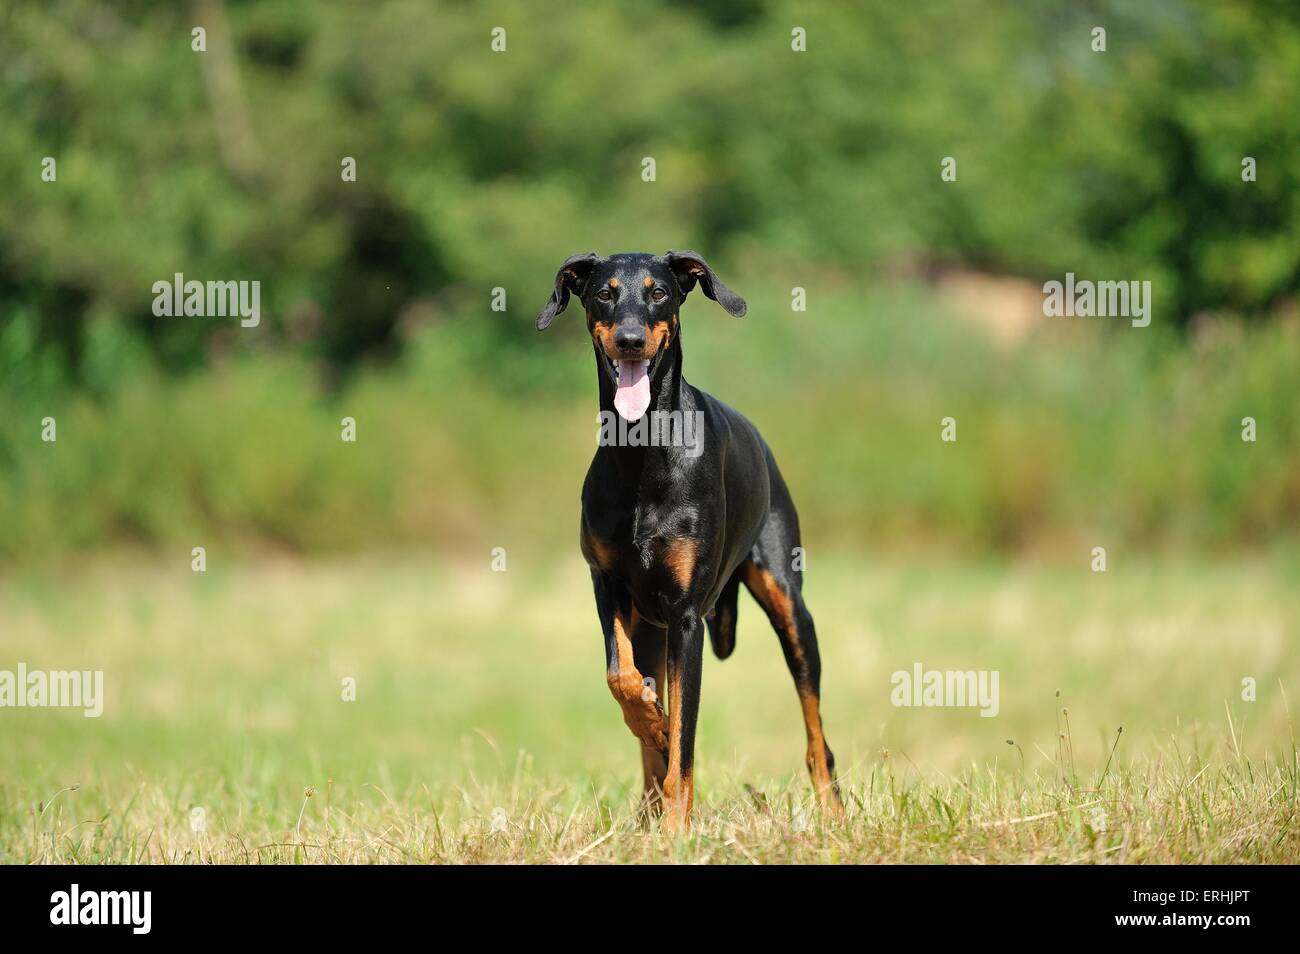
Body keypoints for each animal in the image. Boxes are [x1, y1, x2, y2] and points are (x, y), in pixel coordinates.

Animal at [538, 252, 842, 831]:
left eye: (658, 292)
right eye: (604, 293)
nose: (630, 340)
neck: (641, 451)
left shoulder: (686, 618)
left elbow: (684, 739)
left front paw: (678, 830)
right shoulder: (608, 584)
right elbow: (621, 678)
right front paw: (650, 722)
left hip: (790, 608)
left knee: (817, 732)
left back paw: (832, 812)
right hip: (652, 630)